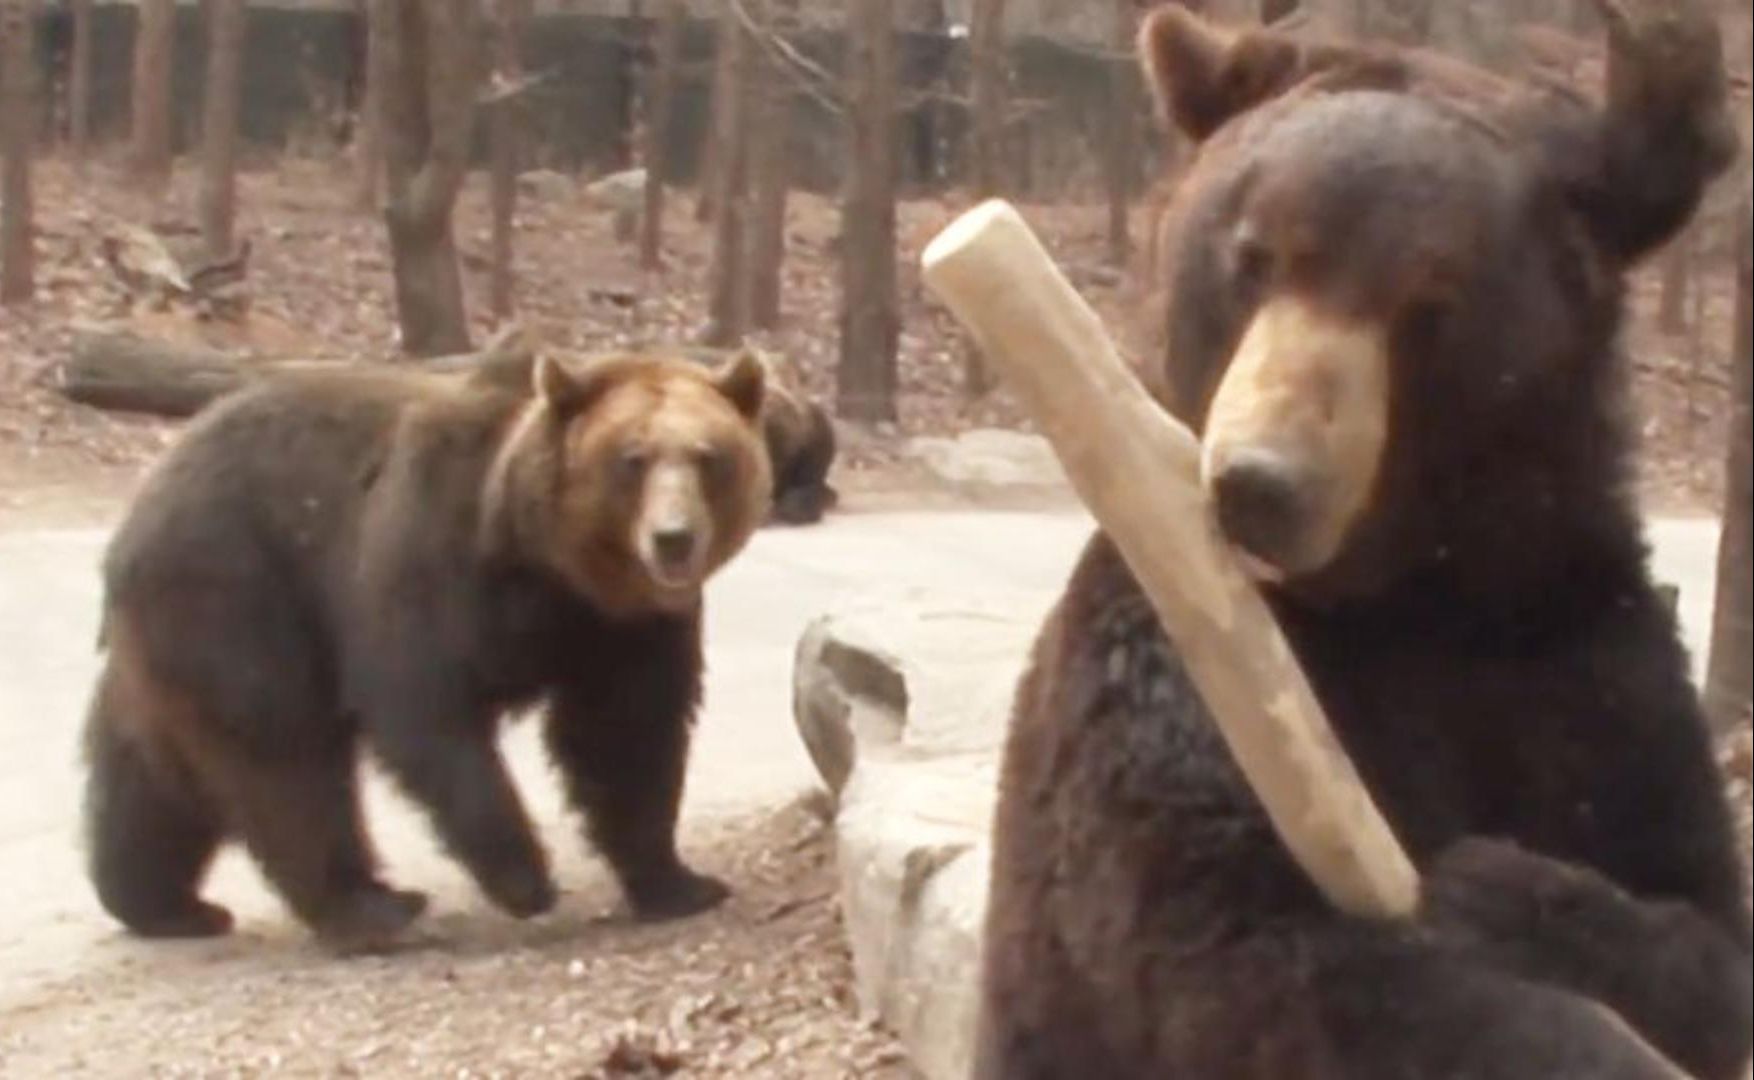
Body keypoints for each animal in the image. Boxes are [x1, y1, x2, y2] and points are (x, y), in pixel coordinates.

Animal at [82, 350, 768, 946]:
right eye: (632, 459)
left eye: (708, 457)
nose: (674, 538)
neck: (548, 565)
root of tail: (139, 510)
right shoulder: (433, 562)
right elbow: (429, 712)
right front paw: (526, 877)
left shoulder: (622, 629)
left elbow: (627, 734)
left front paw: (680, 883)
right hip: (240, 591)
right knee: (284, 754)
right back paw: (372, 906)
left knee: (153, 769)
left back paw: (160, 901)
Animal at [982, 2, 1746, 1080]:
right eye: (1251, 256)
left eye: (1427, 304)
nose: (1261, 483)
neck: (1414, 593)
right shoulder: (1177, 676)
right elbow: (1251, 954)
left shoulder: (1584, 654)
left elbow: (1698, 920)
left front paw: (1500, 886)